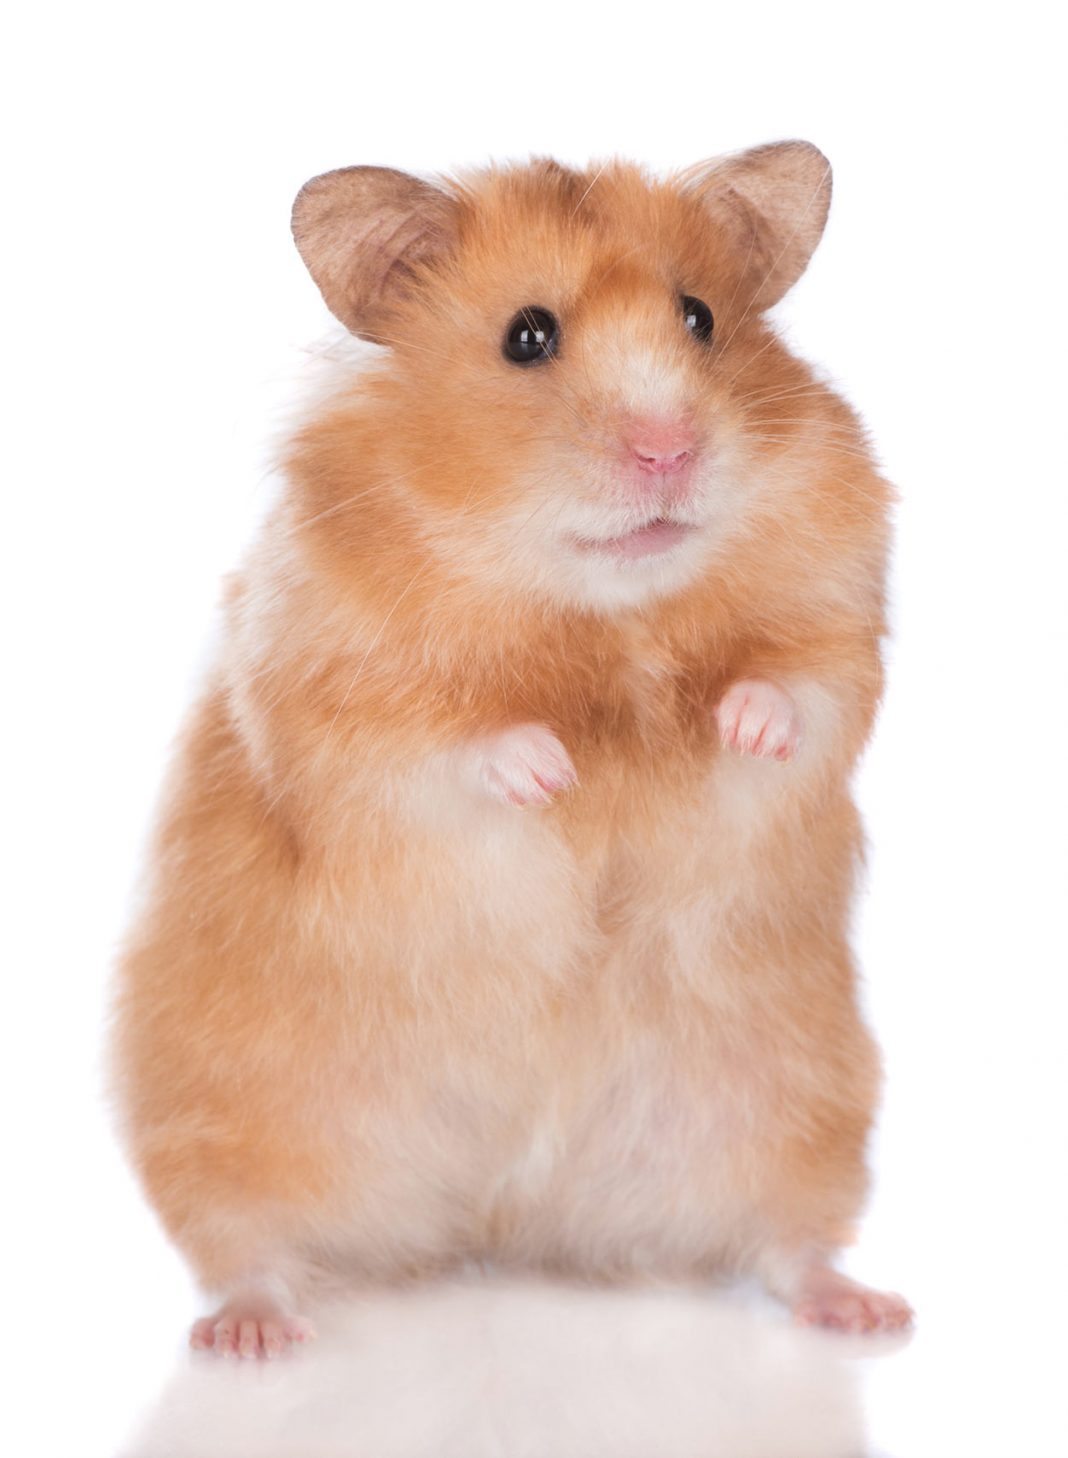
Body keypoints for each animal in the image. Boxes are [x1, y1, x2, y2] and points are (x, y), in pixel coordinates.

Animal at [112, 141, 912, 1358]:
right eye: (527, 336)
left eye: (700, 319)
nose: (672, 452)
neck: (594, 608)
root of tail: (496, 1218)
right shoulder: (334, 696)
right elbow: (444, 744)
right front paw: (555, 771)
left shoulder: (839, 615)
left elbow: (800, 690)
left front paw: (731, 723)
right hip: (225, 1112)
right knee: (246, 1245)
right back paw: (253, 1336)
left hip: (796, 1102)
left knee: (789, 1242)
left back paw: (867, 1312)